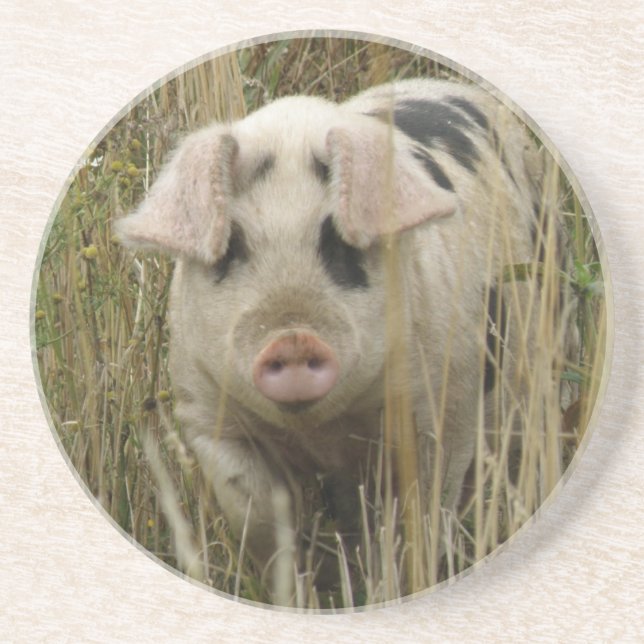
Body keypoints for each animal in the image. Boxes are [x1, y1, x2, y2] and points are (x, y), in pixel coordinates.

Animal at [116, 78, 552, 593]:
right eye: (232, 247)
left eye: (340, 241)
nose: (293, 339)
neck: (323, 431)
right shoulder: (208, 414)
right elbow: (257, 517)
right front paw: (304, 585)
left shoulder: (444, 410)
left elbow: (419, 519)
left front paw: (392, 585)